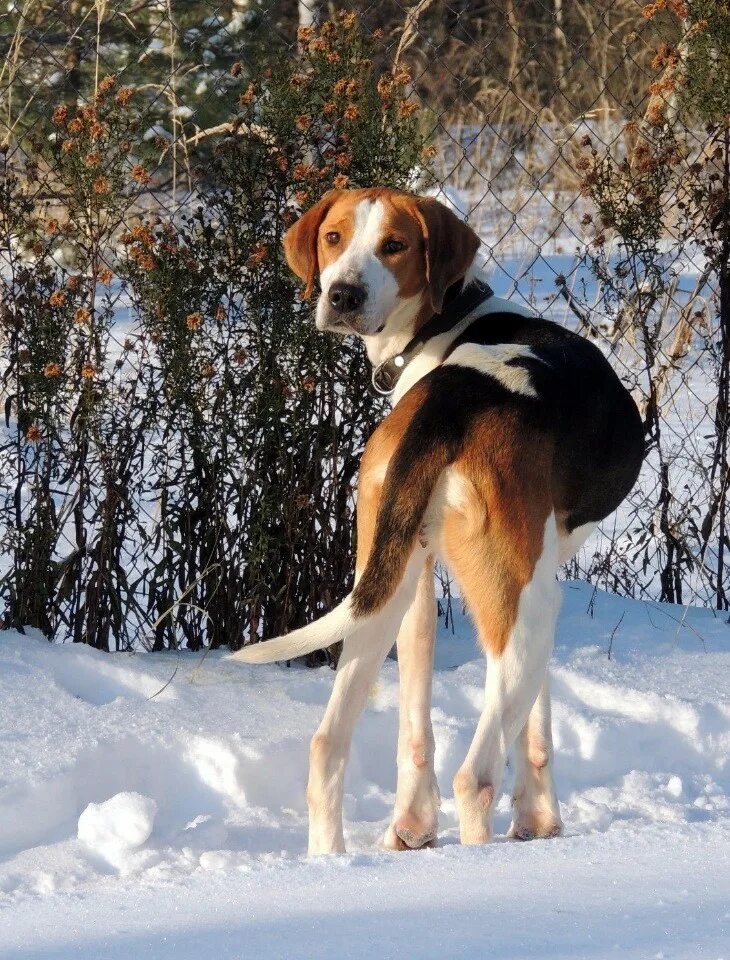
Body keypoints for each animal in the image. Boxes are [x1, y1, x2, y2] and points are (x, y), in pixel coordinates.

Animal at [230, 186, 640, 856]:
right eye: (334, 238)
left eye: (395, 245)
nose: (342, 294)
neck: (450, 318)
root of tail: (450, 406)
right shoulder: (536, 587)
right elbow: (536, 732)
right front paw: (542, 824)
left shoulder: (421, 580)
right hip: (530, 611)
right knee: (475, 776)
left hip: (383, 592)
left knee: (328, 746)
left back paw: (336, 856)